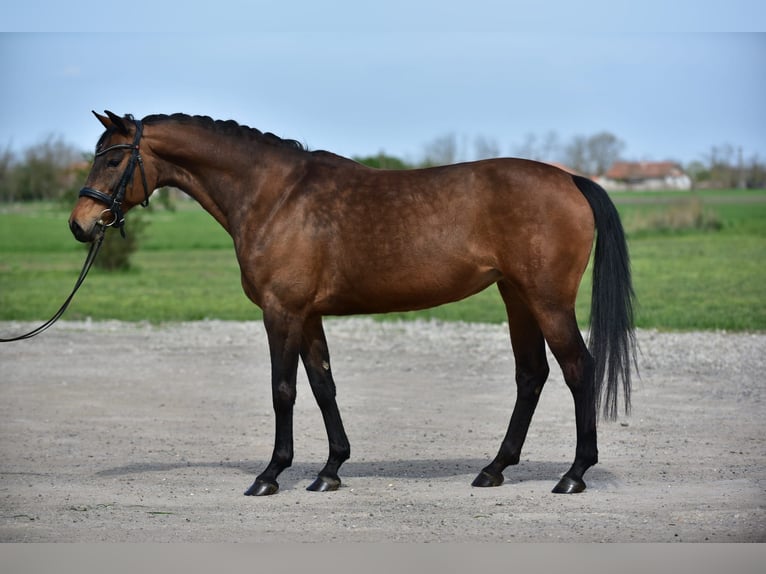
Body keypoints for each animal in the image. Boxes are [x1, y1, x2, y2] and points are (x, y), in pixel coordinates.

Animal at [69, 111, 636, 496]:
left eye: (114, 158)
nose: (80, 224)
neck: (275, 196)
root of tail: (570, 180)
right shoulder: (308, 315)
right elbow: (323, 386)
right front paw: (330, 470)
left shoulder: (281, 312)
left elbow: (283, 391)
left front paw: (271, 474)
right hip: (516, 296)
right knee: (531, 374)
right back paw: (495, 468)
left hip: (547, 300)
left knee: (578, 368)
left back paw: (573, 474)